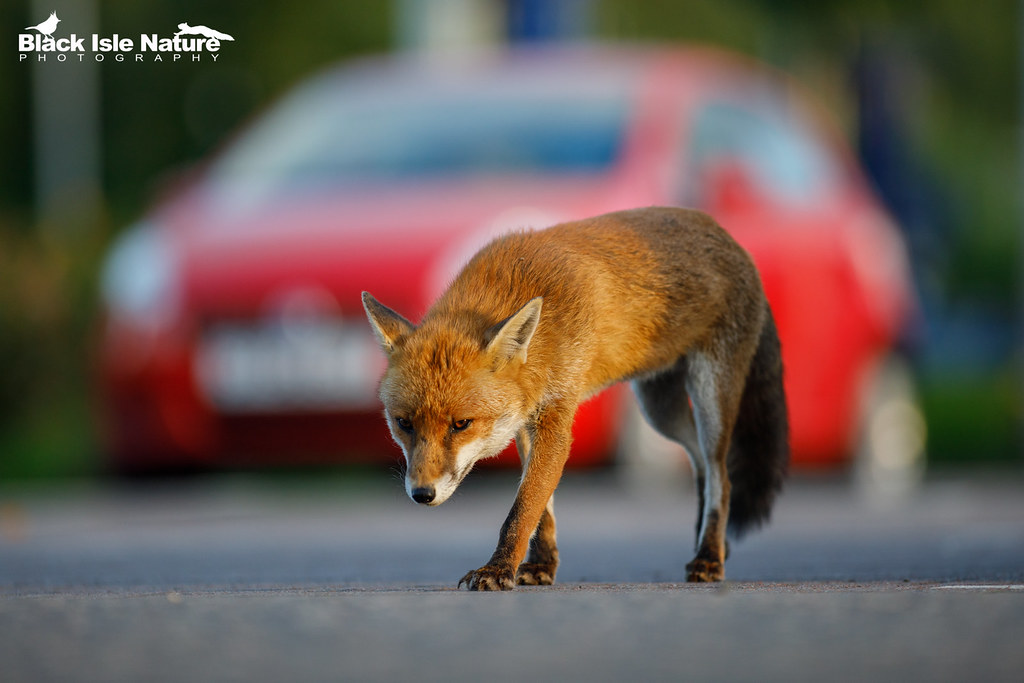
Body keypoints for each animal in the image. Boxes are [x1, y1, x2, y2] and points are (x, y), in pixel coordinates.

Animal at [362, 206, 788, 590]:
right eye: (404, 423)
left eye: (461, 424)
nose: (422, 494)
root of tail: (728, 237)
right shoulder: (526, 419)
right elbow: (542, 509)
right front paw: (540, 566)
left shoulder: (557, 417)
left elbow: (524, 507)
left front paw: (498, 570)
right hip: (660, 411)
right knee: (701, 462)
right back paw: (711, 542)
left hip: (709, 396)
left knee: (722, 475)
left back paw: (710, 556)